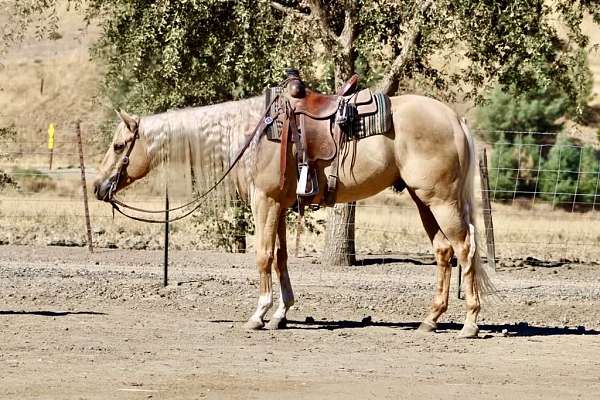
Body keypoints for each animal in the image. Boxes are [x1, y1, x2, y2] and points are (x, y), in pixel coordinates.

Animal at [94, 90, 494, 338]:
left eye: (118, 145)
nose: (98, 186)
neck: (253, 136)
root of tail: (455, 119)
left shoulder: (265, 201)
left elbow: (263, 256)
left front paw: (259, 314)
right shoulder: (282, 204)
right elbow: (281, 257)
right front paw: (280, 315)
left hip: (441, 200)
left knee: (465, 249)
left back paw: (470, 323)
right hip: (423, 200)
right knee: (444, 251)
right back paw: (430, 320)